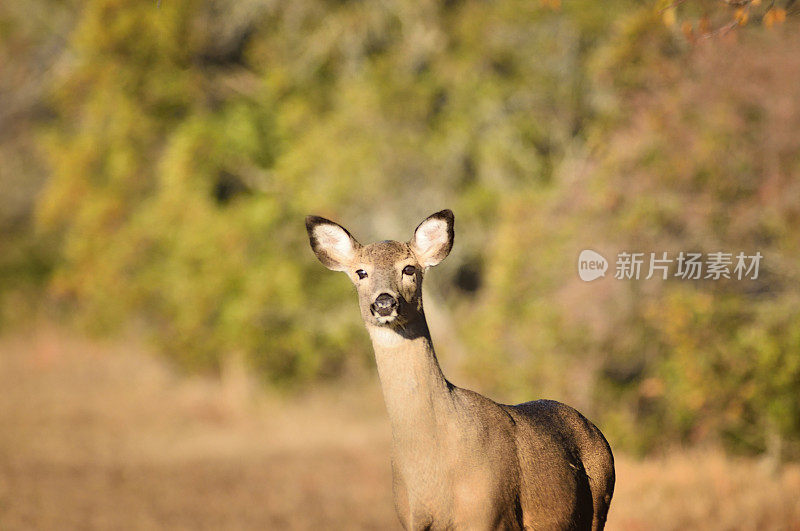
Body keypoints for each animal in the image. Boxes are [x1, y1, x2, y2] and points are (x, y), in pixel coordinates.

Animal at [304, 211, 612, 531]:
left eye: (409, 268)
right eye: (361, 272)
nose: (385, 302)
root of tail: (596, 430)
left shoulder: (491, 513)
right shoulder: (411, 519)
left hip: (599, 505)